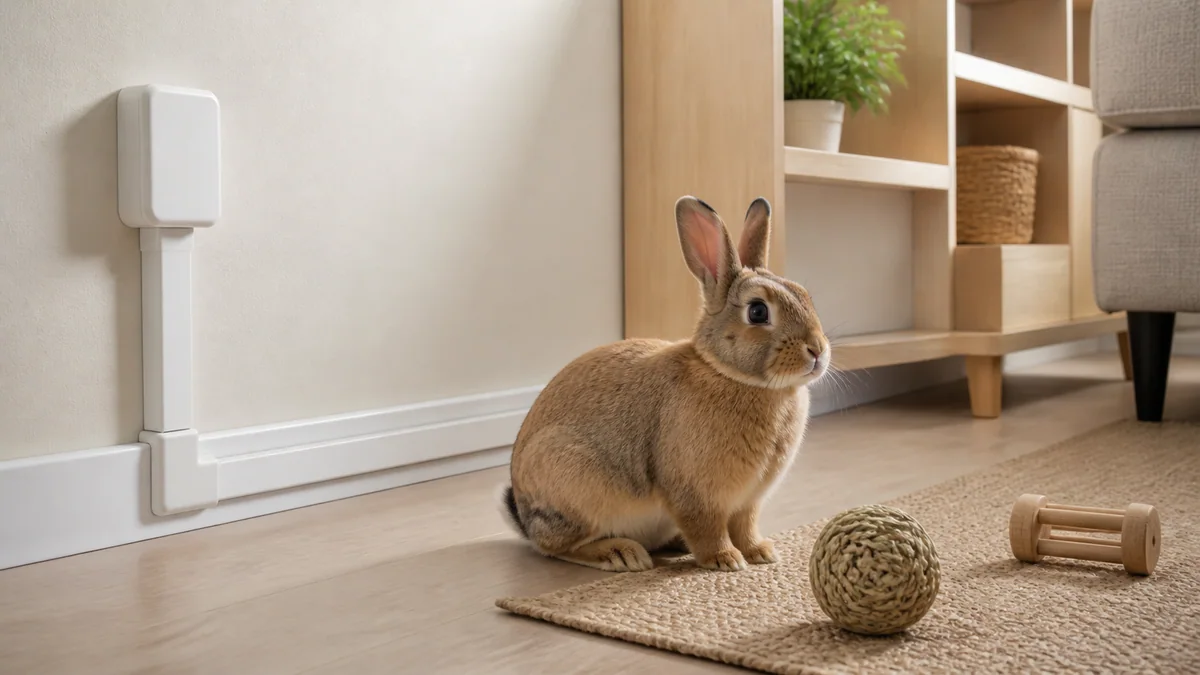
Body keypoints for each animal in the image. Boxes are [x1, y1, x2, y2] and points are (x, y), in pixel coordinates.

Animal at [500, 195, 830, 572]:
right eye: (758, 312)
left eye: (805, 296)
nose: (817, 350)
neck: (732, 374)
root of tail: (525, 518)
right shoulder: (696, 494)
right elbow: (706, 528)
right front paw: (726, 559)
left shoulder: (748, 501)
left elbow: (745, 526)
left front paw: (761, 552)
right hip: (573, 482)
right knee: (554, 546)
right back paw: (621, 555)